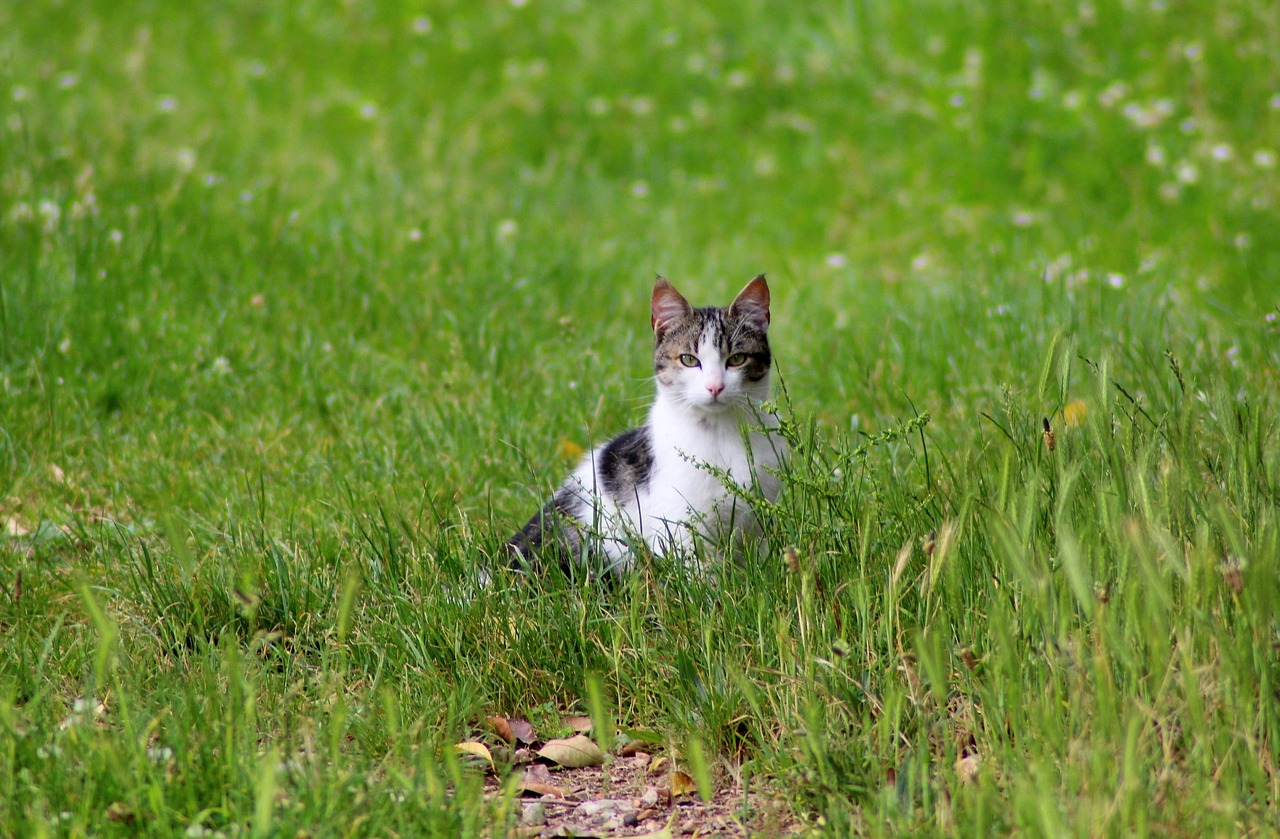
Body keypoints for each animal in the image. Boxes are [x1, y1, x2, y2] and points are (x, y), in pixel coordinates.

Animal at [504, 275, 783, 578]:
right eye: (688, 359)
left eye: (737, 359)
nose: (715, 387)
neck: (720, 431)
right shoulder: (678, 526)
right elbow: (699, 574)